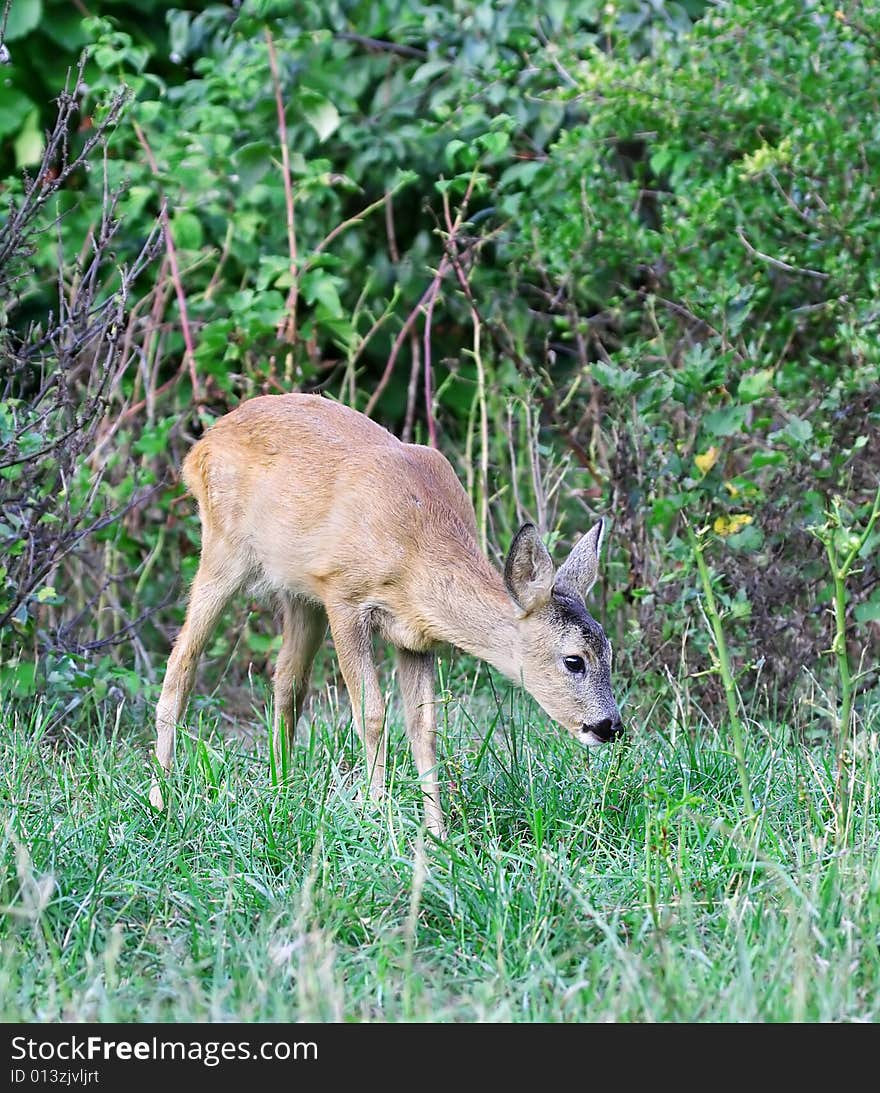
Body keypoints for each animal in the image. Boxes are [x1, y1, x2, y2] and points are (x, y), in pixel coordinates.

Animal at [150, 393, 620, 835]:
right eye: (573, 660)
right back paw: (160, 797)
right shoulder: (344, 596)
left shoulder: (414, 636)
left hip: (300, 593)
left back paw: (280, 790)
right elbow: (371, 713)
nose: (609, 726)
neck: (417, 550)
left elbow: (424, 726)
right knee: (181, 661)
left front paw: (437, 830)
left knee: (288, 683)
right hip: (225, 550)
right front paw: (377, 814)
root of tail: (202, 443)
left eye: (609, 653)